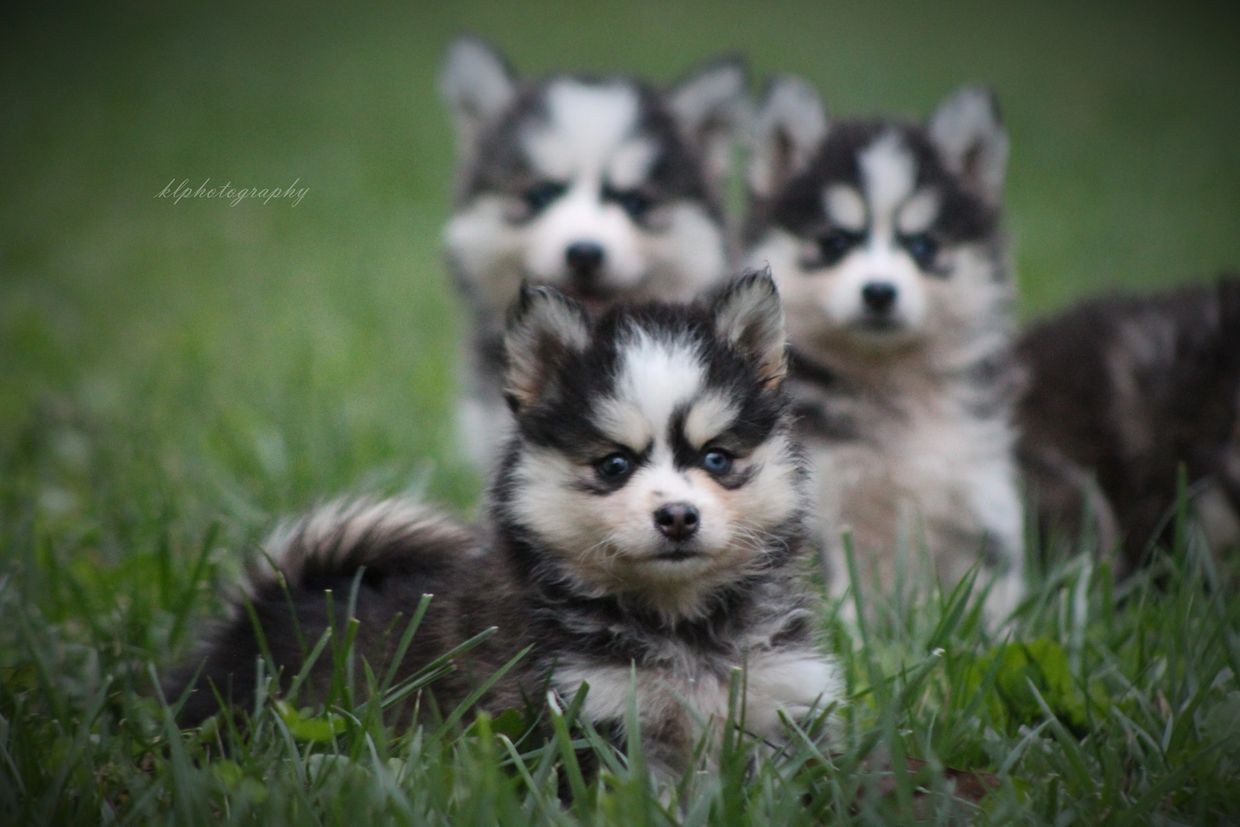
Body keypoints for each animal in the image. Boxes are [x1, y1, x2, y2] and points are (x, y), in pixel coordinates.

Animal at [164, 275, 843, 788]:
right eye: (613, 465)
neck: (683, 628)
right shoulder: (584, 716)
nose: (677, 516)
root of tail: (269, 600)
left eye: (717, 458)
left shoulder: (782, 705)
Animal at [739, 79, 1021, 619]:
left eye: (924, 246)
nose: (879, 293)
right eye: (834, 242)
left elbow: (994, 597)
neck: (890, 387)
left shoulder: (977, 497)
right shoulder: (825, 503)